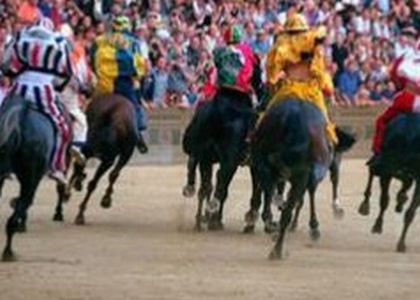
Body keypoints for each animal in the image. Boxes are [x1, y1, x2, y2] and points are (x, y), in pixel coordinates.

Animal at [358, 113, 420, 252]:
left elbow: (410, 211)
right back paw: (365, 206)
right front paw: (377, 226)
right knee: (373, 170)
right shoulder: (388, 168)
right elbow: (384, 201)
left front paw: (401, 243)